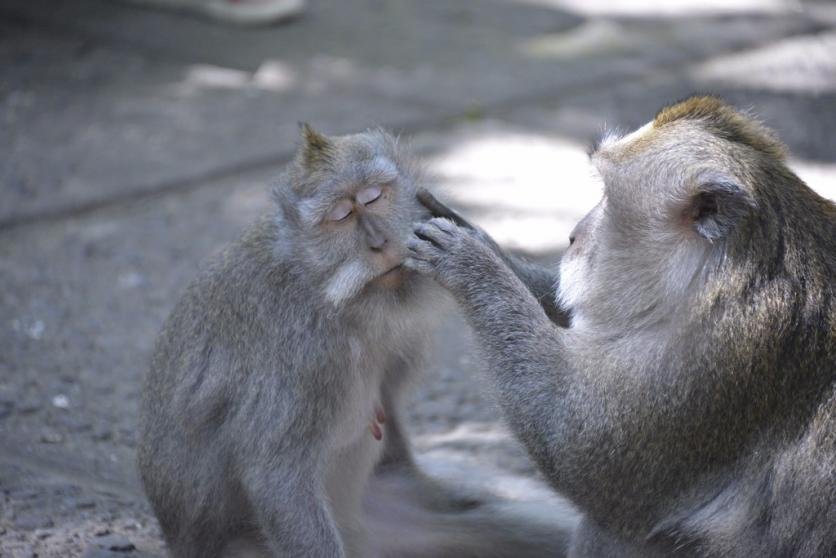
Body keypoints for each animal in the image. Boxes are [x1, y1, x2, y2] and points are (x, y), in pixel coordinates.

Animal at [140, 126, 580, 558]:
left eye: (373, 196)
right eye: (341, 216)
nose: (379, 241)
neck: (327, 292)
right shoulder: (301, 353)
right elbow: (277, 476)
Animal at [410, 97, 836, 558]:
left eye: (607, 196)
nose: (573, 237)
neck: (716, 278)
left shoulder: (716, 359)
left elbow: (580, 456)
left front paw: (471, 263)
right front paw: (473, 234)